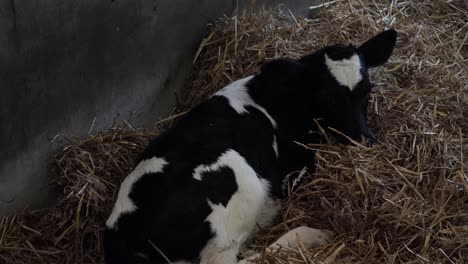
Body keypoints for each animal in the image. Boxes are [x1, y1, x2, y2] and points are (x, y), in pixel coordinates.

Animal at [104, 29, 396, 262]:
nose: (363, 139)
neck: (281, 95)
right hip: (240, 178)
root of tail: (124, 237)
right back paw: (310, 235)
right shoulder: (297, 164)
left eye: (368, 89)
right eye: (327, 97)